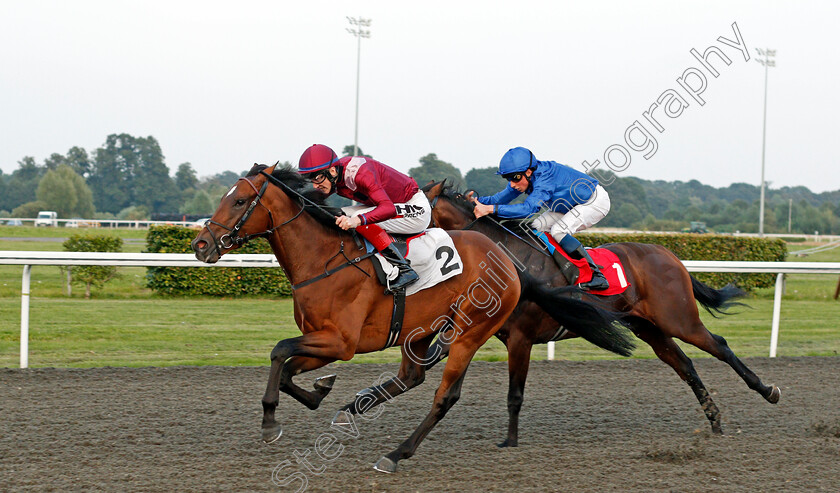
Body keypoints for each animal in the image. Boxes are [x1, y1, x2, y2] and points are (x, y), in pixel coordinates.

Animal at [192, 163, 636, 470]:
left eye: (238, 201)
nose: (201, 245)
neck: (323, 261)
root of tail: (510, 263)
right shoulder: (324, 341)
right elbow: (287, 369)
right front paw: (321, 390)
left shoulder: (341, 341)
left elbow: (278, 351)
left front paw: (270, 422)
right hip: (422, 329)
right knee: (412, 376)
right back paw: (358, 408)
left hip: (469, 332)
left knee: (444, 395)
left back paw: (396, 453)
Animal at [420, 181, 780, 446]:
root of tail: (669, 255)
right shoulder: (475, 331)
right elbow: (434, 359)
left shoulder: (521, 338)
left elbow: (515, 394)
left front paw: (509, 442)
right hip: (648, 327)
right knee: (685, 365)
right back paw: (715, 419)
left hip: (678, 318)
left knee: (719, 346)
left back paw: (767, 391)